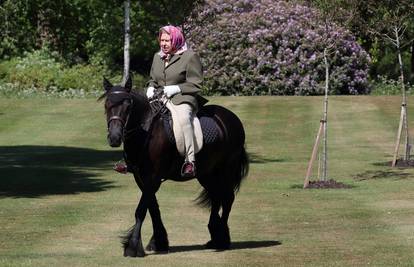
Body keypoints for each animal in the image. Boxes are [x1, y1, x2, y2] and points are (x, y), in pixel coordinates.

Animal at [101, 77, 249, 258]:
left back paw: (222, 239)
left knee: (227, 198)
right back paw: (215, 237)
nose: (115, 138)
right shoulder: (141, 177)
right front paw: (158, 242)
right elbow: (153, 207)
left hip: (226, 170)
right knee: (216, 197)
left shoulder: (153, 177)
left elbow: (141, 210)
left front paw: (133, 246)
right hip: (207, 173)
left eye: (128, 105)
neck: (146, 131)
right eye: (107, 104)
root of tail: (231, 118)